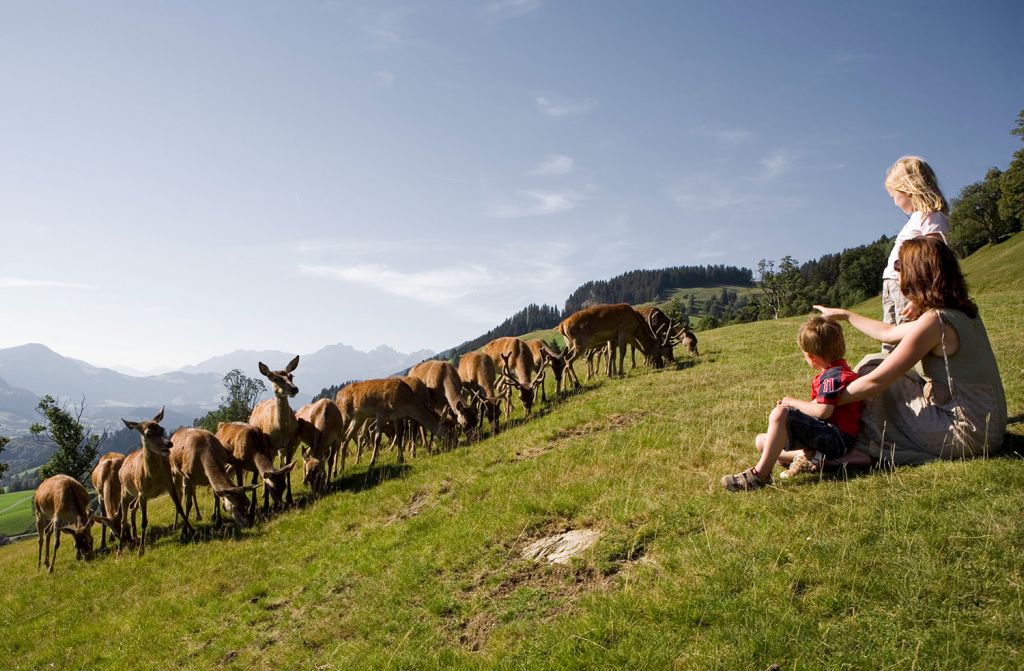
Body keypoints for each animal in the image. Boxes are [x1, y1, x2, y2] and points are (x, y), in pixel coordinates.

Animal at [118, 409, 192, 557]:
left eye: (162, 429)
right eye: (148, 433)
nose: (168, 444)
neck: (154, 479)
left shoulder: (169, 484)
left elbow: (179, 507)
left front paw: (191, 531)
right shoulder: (143, 493)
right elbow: (144, 521)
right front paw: (141, 551)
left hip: (135, 494)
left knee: (132, 509)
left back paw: (134, 539)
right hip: (125, 491)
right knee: (123, 520)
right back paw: (120, 550)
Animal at [249, 356, 301, 504]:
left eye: (291, 376)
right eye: (275, 379)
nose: (294, 389)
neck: (281, 429)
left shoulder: (290, 442)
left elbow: (287, 467)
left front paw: (289, 497)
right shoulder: (268, 444)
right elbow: (269, 470)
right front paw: (267, 502)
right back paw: (262, 495)